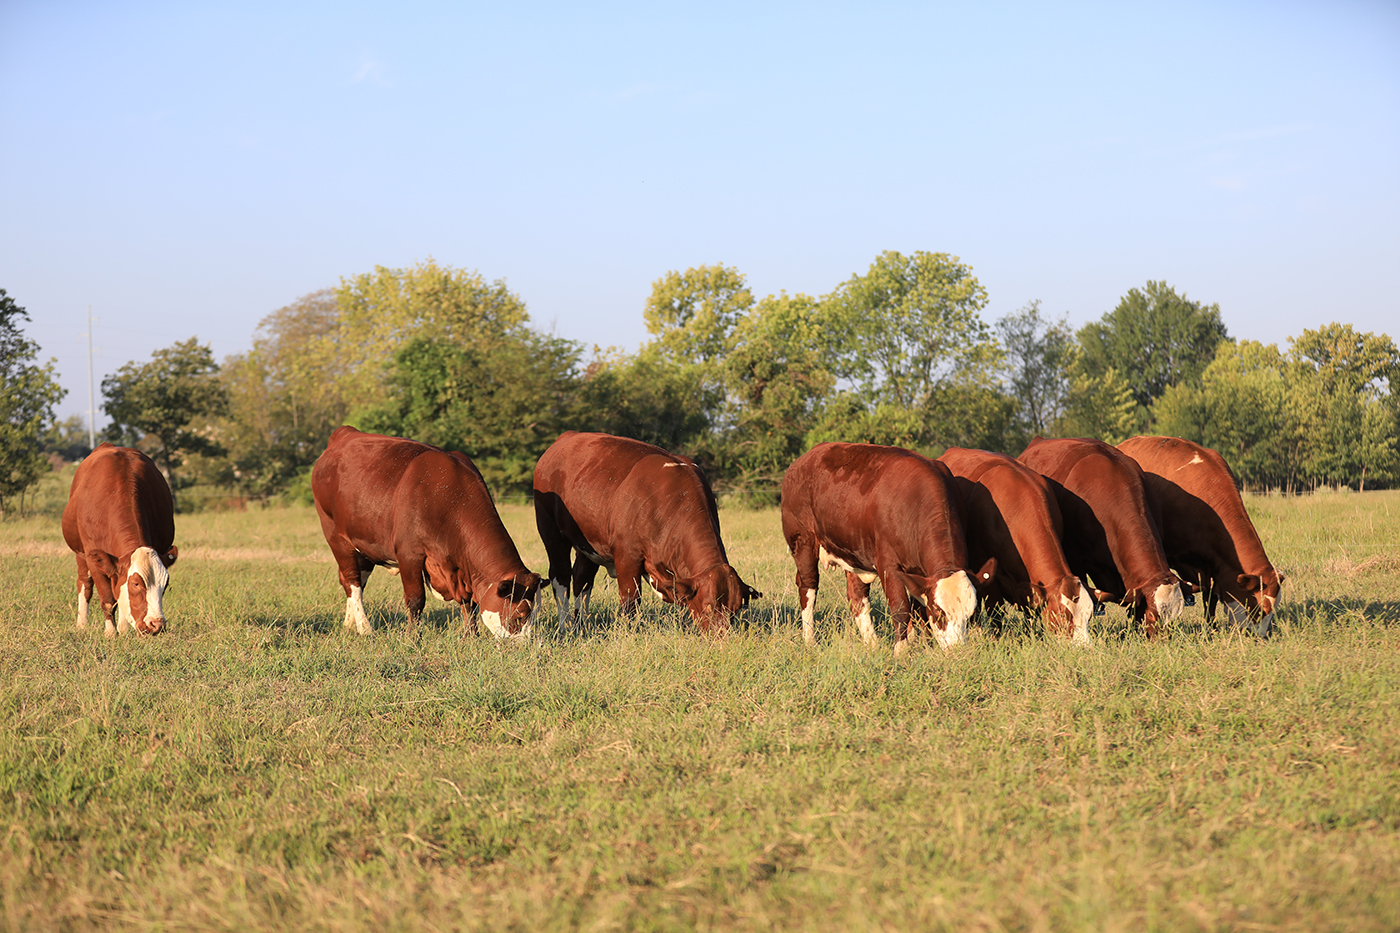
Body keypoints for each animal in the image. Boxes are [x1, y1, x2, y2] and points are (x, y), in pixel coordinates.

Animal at [61, 443, 179, 637]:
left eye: (165, 584)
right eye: (136, 583)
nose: (156, 625)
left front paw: (122, 630)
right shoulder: (94, 559)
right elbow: (108, 599)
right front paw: (110, 632)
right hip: (80, 553)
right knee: (85, 583)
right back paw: (82, 624)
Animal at [311, 426, 541, 638]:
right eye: (520, 614)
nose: (525, 644)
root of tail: (345, 432)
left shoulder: (463, 570)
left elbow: (470, 604)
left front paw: (471, 635)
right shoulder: (409, 554)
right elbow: (416, 599)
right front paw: (412, 636)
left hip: (364, 543)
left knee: (353, 580)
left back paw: (350, 624)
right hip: (336, 536)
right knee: (352, 581)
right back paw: (365, 628)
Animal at [532, 431, 759, 634]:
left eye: (735, 610)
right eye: (708, 605)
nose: (722, 637)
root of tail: (566, 437)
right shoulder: (627, 558)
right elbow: (630, 602)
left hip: (588, 544)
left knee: (582, 579)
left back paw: (581, 624)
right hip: (551, 532)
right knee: (561, 577)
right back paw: (565, 627)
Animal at [781, 442, 996, 653]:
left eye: (971, 614)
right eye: (938, 610)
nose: (957, 650)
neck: (916, 501)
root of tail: (804, 459)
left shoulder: (919, 575)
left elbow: (918, 611)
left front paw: (924, 646)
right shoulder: (888, 566)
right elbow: (901, 608)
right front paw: (901, 651)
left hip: (853, 553)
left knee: (857, 597)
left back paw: (872, 644)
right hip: (803, 542)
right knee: (808, 586)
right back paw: (810, 640)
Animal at [938, 447, 1093, 645]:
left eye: (1089, 616)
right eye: (1061, 615)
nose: (1084, 648)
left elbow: (1030, 615)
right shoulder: (989, 577)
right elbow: (995, 614)